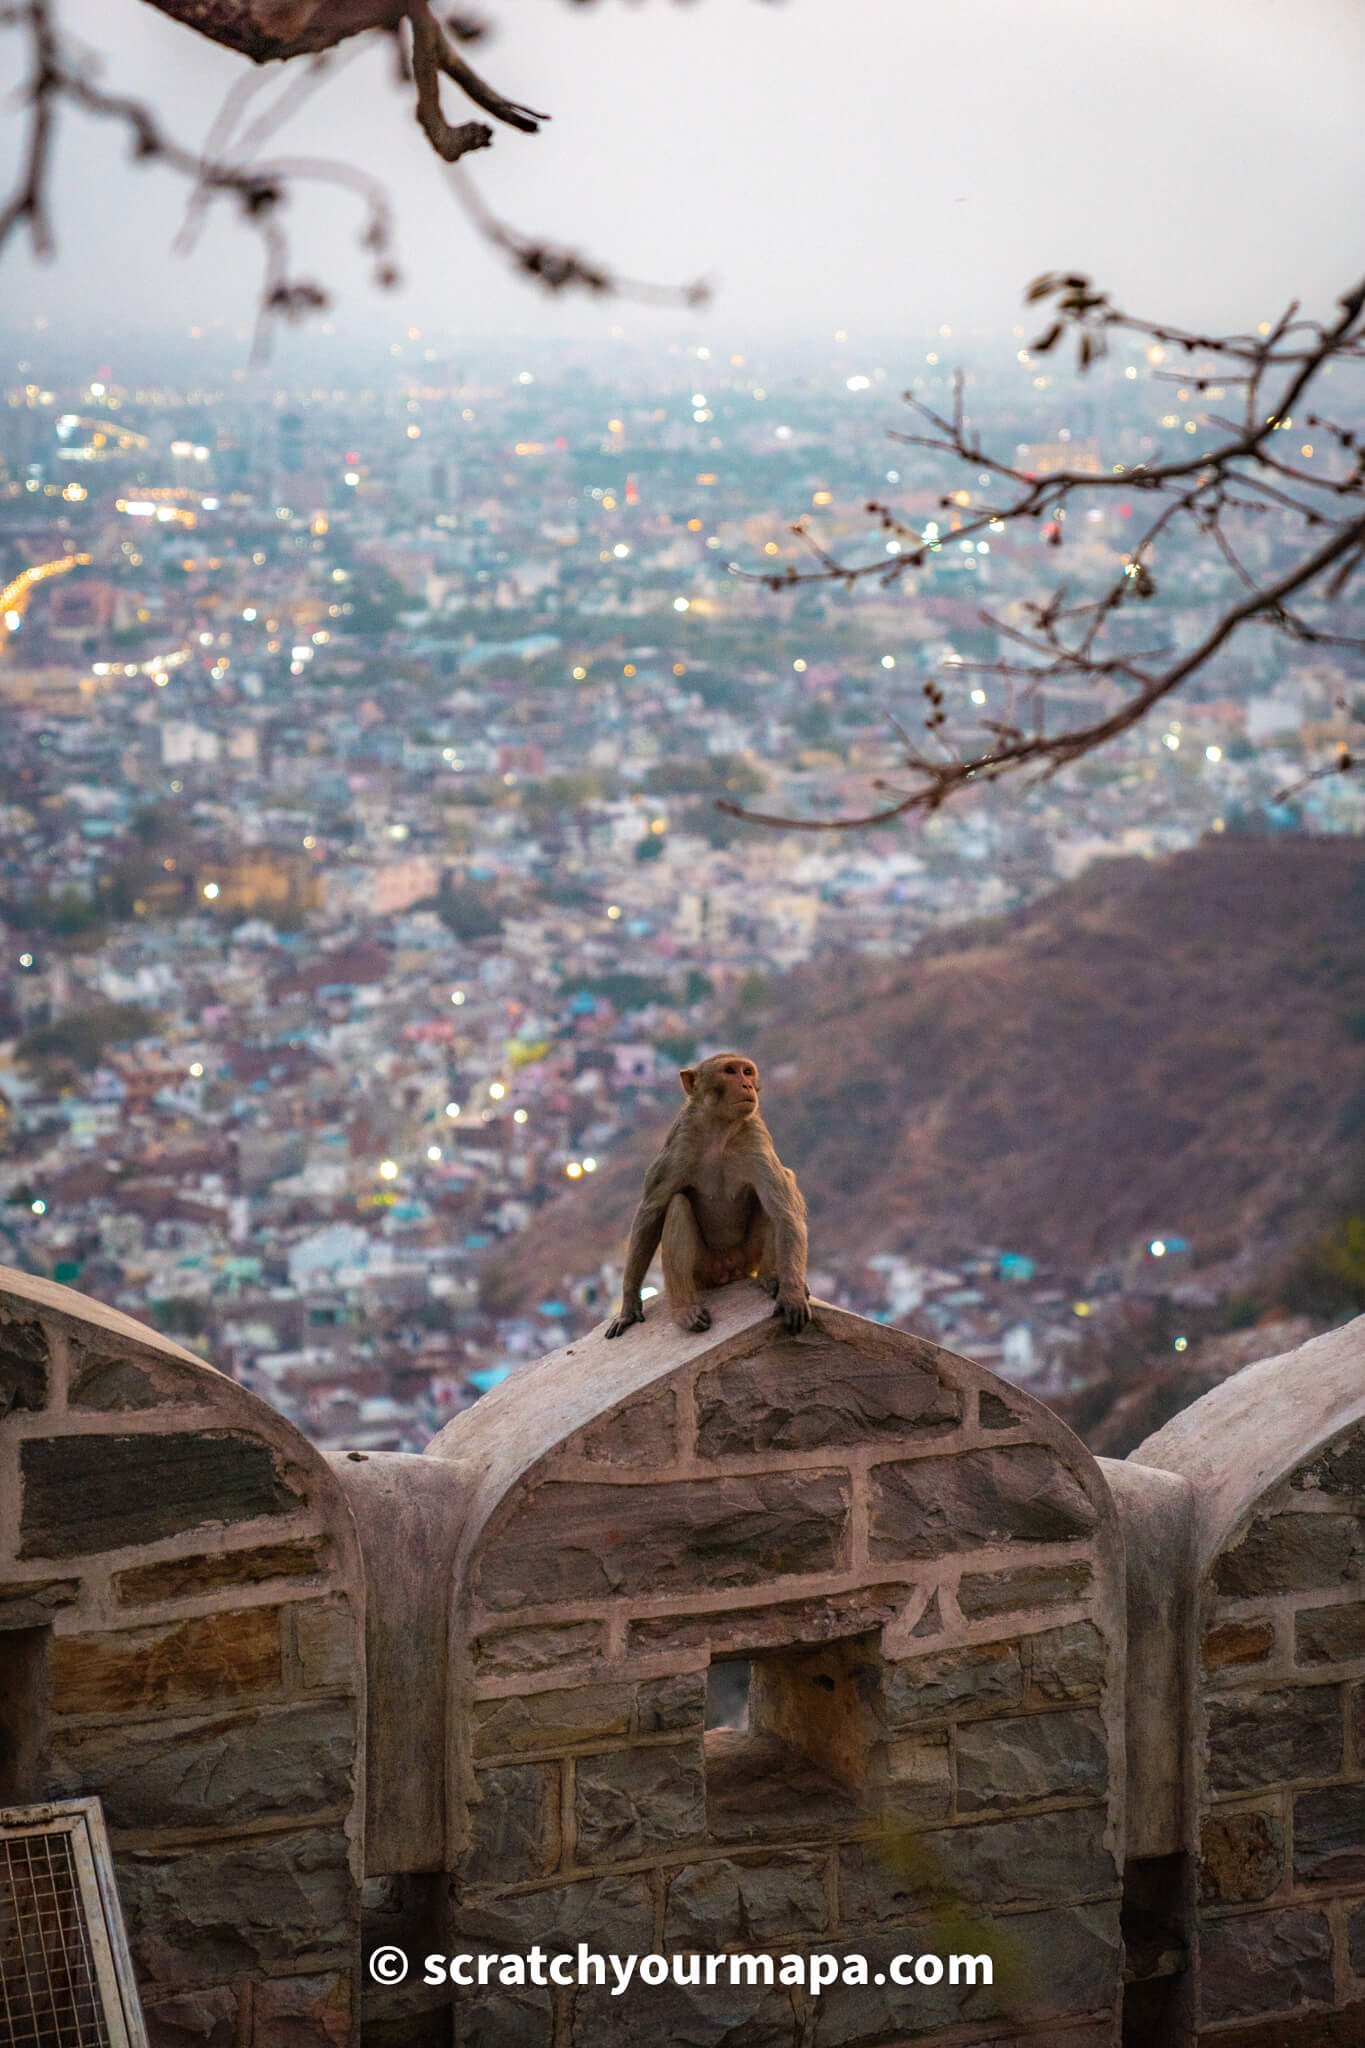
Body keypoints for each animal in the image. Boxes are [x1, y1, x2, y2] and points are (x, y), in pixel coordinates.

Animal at [601, 1056, 810, 1343]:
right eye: (730, 1071)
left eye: (747, 1071)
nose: (747, 1085)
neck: (719, 1130)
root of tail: (729, 1269)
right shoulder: (679, 1145)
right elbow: (651, 1214)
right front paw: (629, 1306)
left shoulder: (755, 1137)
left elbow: (783, 1212)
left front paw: (792, 1294)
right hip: (704, 1269)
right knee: (677, 1205)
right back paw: (685, 1309)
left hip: (747, 1256)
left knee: (777, 1191)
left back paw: (771, 1276)